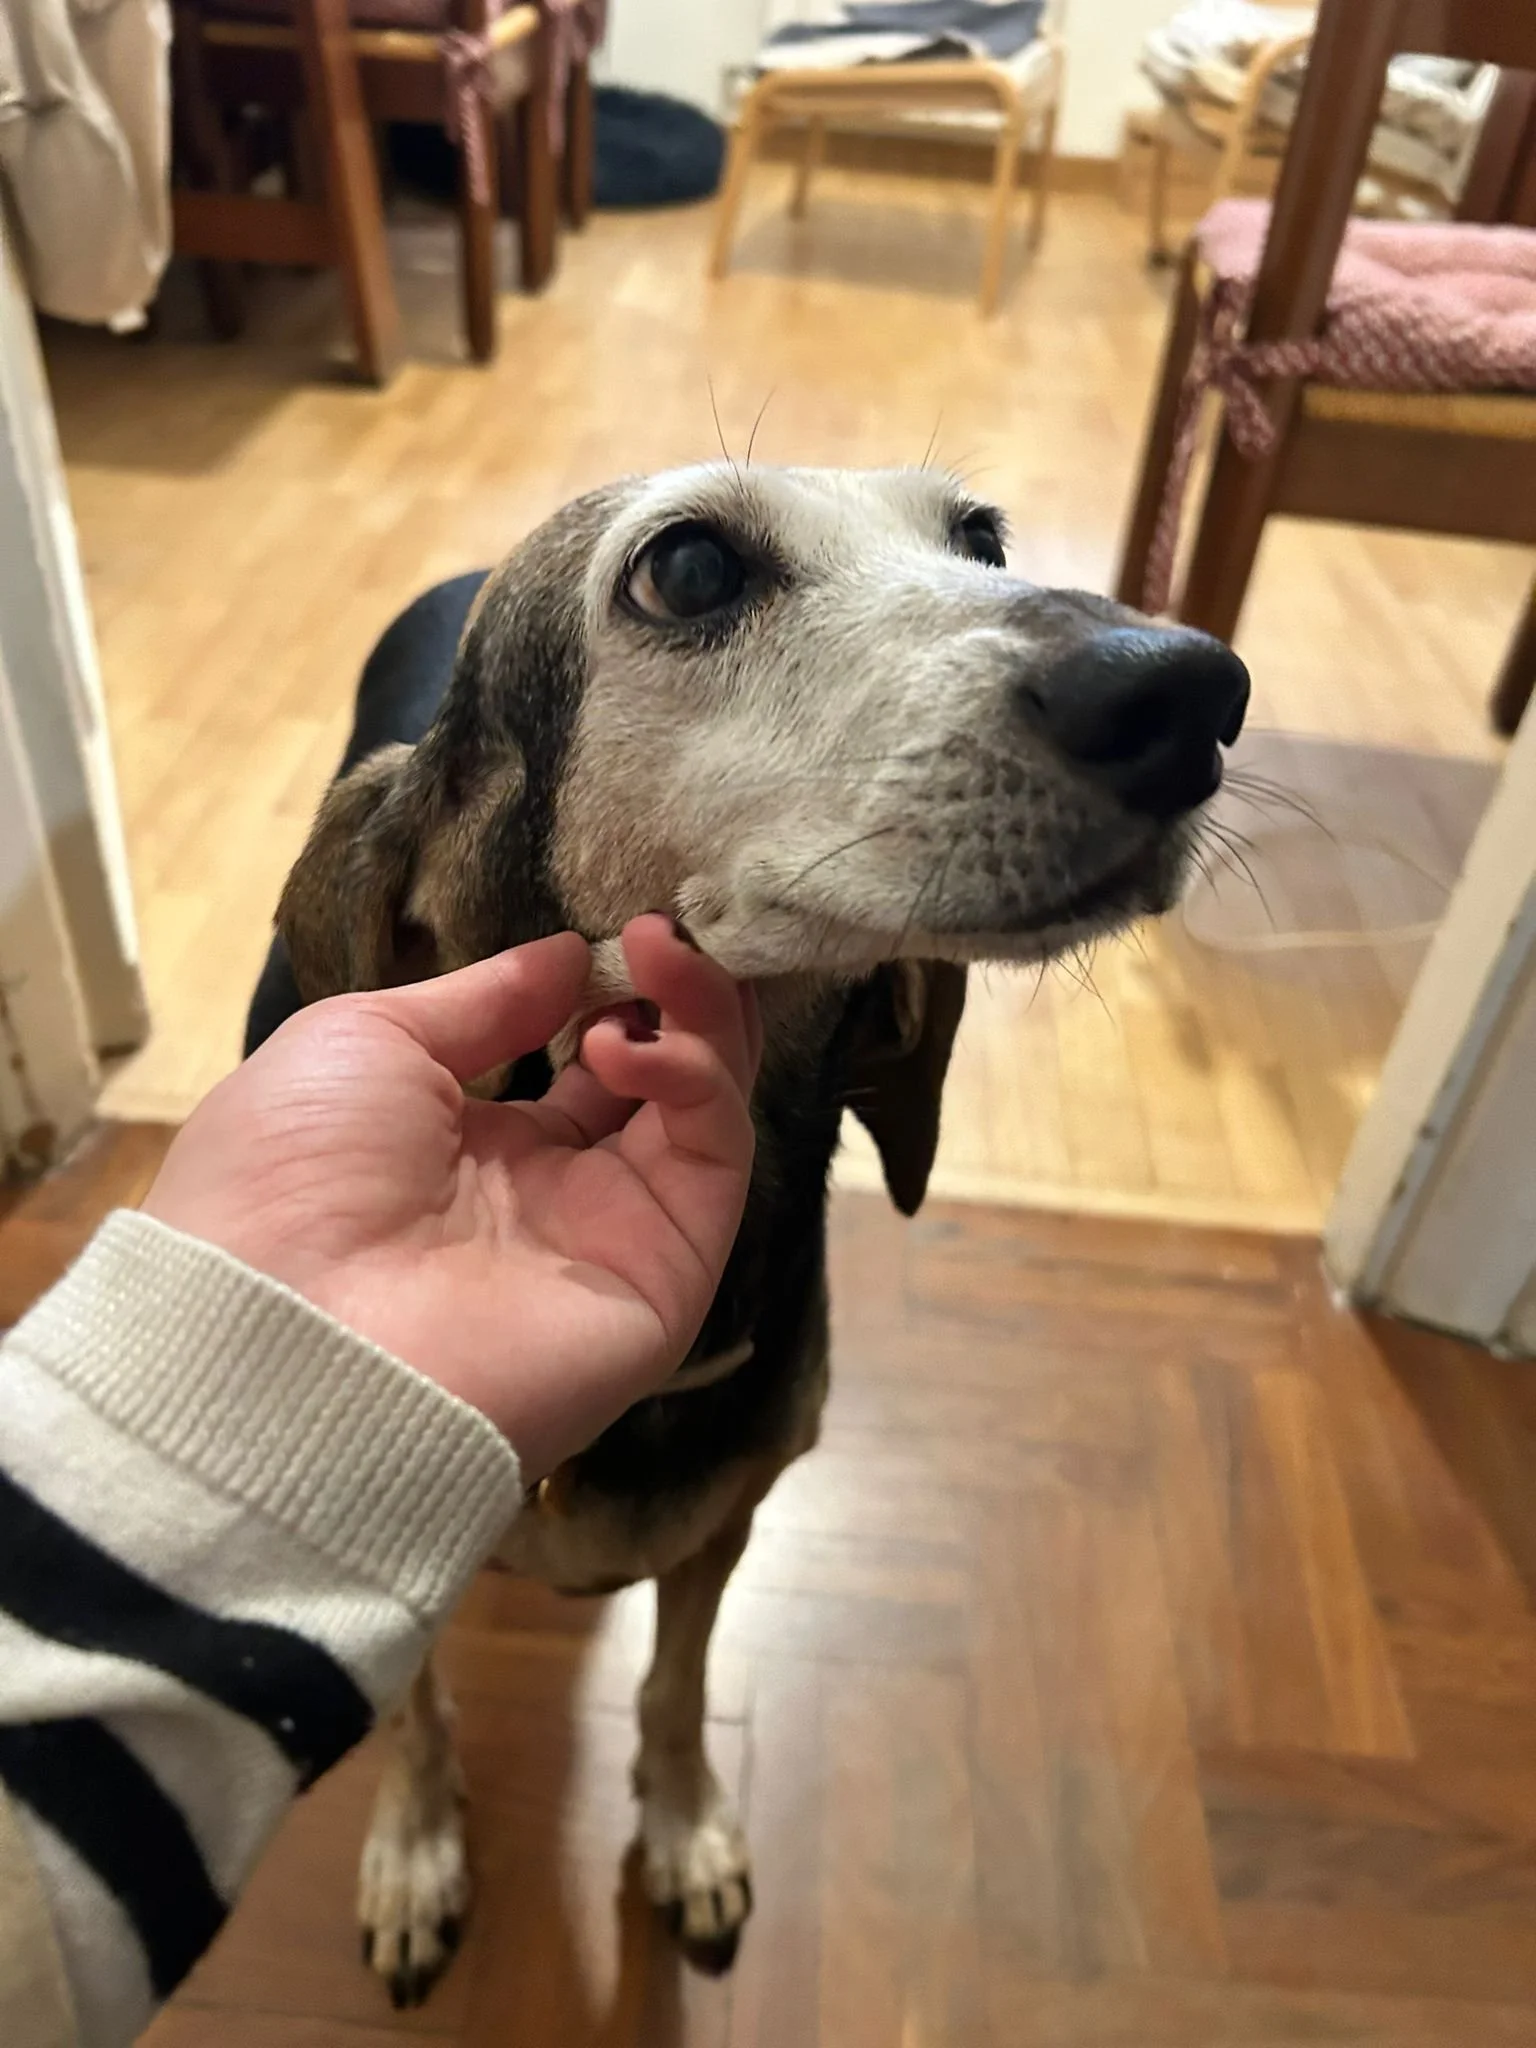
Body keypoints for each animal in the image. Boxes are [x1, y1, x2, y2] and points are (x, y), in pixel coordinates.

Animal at [247, 462, 1249, 2006]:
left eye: (981, 539)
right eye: (691, 569)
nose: (1189, 688)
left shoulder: (729, 1527)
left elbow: (674, 1687)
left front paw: (684, 1830)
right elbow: (415, 1710)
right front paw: (414, 1852)